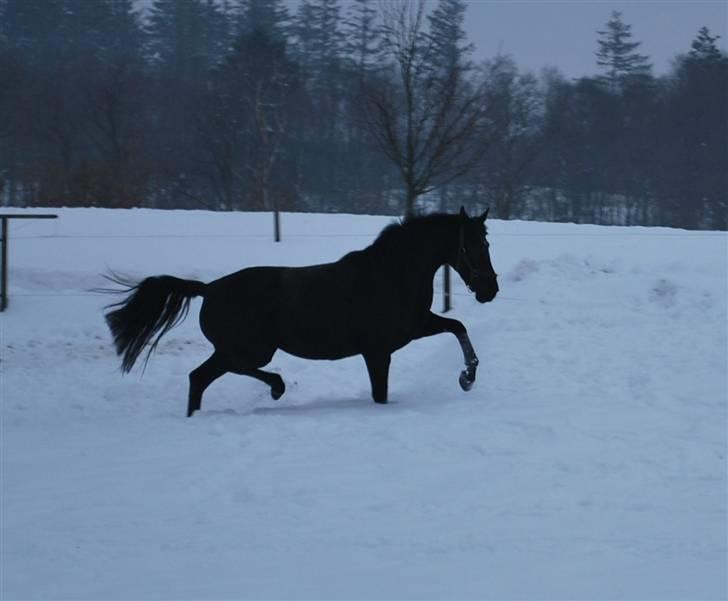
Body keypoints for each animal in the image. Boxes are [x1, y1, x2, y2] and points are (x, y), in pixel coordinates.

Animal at [105, 207, 498, 418]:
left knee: (199, 378)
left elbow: (458, 326)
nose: (490, 290)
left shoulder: (415, 327)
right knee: (215, 373)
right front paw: (466, 376)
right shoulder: (377, 352)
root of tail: (209, 288)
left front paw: (467, 376)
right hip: (252, 350)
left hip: (240, 350)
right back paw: (277, 388)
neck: (391, 275)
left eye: (487, 243)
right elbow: (381, 393)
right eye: (473, 245)